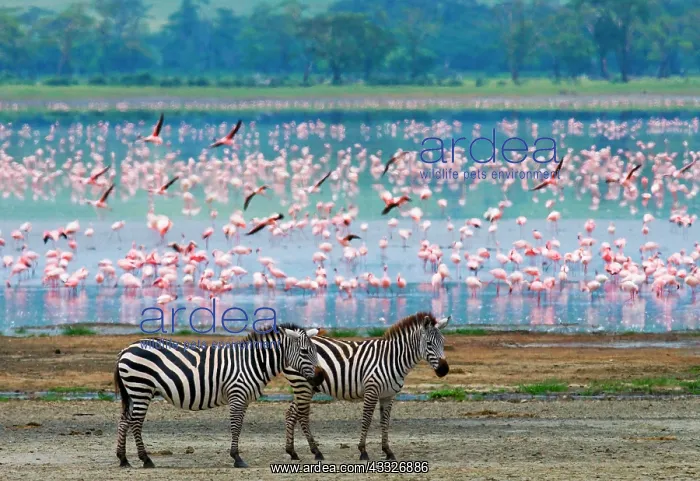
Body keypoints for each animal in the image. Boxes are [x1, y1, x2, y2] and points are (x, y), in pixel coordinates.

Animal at [114, 324, 326, 468]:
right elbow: (236, 426)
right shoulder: (237, 396)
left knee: (124, 421)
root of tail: (127, 348)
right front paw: (237, 458)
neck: (252, 363)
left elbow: (238, 426)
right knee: (135, 423)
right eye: (305, 351)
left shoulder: (244, 399)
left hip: (134, 391)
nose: (321, 376)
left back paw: (123, 459)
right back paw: (145, 459)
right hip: (140, 388)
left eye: (316, 351)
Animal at [283, 311, 450, 461]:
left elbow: (385, 422)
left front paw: (387, 451)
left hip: (306, 387)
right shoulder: (372, 391)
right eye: (429, 344)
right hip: (302, 384)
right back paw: (316, 452)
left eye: (443, 342)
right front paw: (363, 451)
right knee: (302, 416)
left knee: (291, 413)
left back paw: (292, 452)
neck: (392, 358)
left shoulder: (388, 395)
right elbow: (367, 420)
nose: (444, 370)